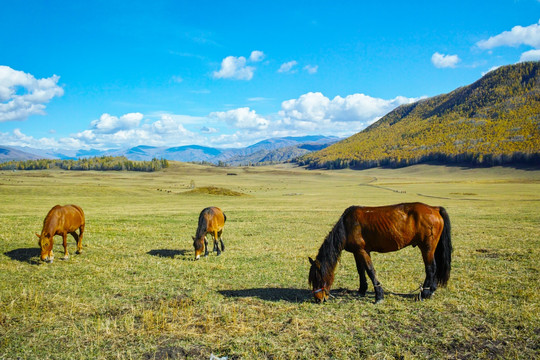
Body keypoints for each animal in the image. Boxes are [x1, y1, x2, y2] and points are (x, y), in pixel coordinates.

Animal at [308, 204, 452, 302]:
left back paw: (424, 294)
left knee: (431, 268)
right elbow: (361, 271)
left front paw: (379, 295)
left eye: (318, 278)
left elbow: (370, 271)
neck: (346, 226)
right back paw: (431, 291)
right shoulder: (357, 252)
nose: (318, 299)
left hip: (427, 248)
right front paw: (362, 290)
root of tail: (435, 209)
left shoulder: (363, 251)